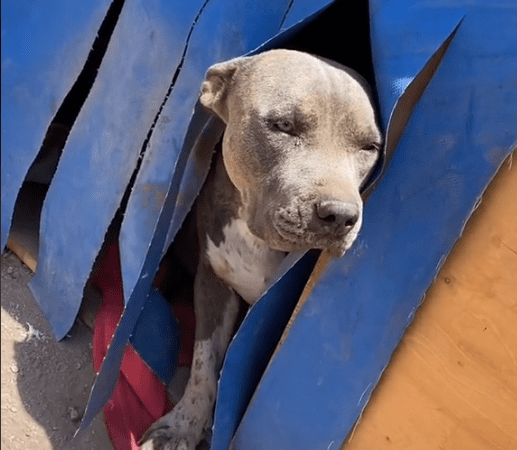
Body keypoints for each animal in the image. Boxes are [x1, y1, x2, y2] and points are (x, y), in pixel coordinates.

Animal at [140, 49, 378, 450]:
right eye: (283, 125)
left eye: (370, 147)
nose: (341, 215)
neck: (257, 238)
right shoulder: (213, 283)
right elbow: (204, 362)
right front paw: (183, 425)